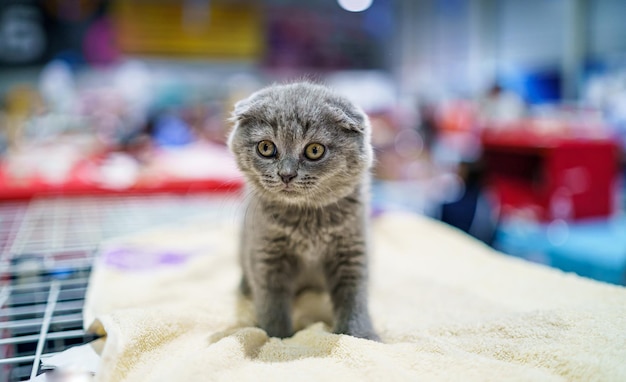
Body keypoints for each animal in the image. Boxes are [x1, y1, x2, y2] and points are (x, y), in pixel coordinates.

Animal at [228, 80, 378, 340]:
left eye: (314, 150)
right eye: (266, 147)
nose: (286, 174)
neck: (307, 219)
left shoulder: (352, 249)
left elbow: (353, 297)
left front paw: (360, 335)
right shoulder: (266, 253)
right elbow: (272, 301)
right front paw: (275, 337)